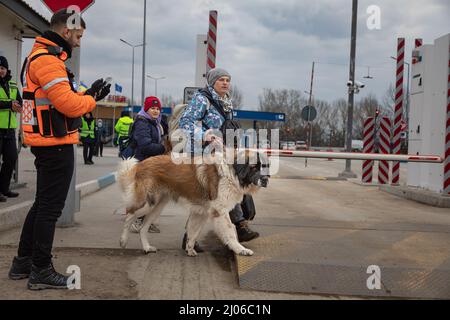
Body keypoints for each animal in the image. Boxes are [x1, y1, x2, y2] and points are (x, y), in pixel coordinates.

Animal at [118, 151, 268, 258]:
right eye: (254, 167)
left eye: (265, 167)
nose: (266, 179)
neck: (231, 174)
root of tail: (140, 164)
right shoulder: (219, 211)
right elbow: (230, 232)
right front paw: (241, 249)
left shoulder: (201, 212)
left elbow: (193, 231)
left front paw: (189, 249)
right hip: (147, 203)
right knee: (129, 215)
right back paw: (123, 240)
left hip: (157, 206)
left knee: (143, 227)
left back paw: (146, 248)